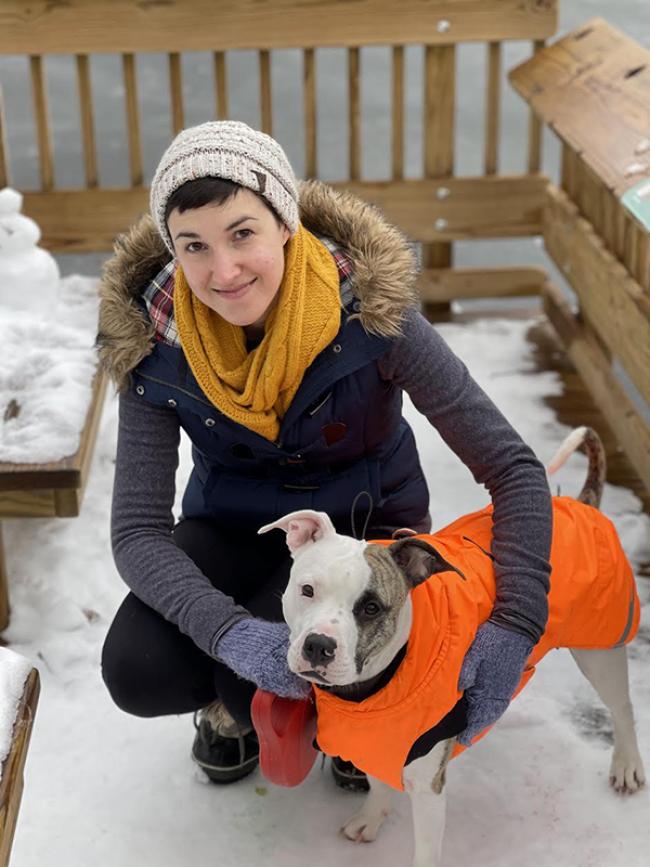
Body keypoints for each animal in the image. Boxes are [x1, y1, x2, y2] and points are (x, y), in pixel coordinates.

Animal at [258, 428, 644, 867]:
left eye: (371, 608)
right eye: (307, 590)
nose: (319, 646)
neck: (374, 688)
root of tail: (582, 502)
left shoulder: (429, 786)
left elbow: (425, 851)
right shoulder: (374, 738)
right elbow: (378, 782)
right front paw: (371, 818)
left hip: (601, 646)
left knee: (622, 707)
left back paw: (627, 765)